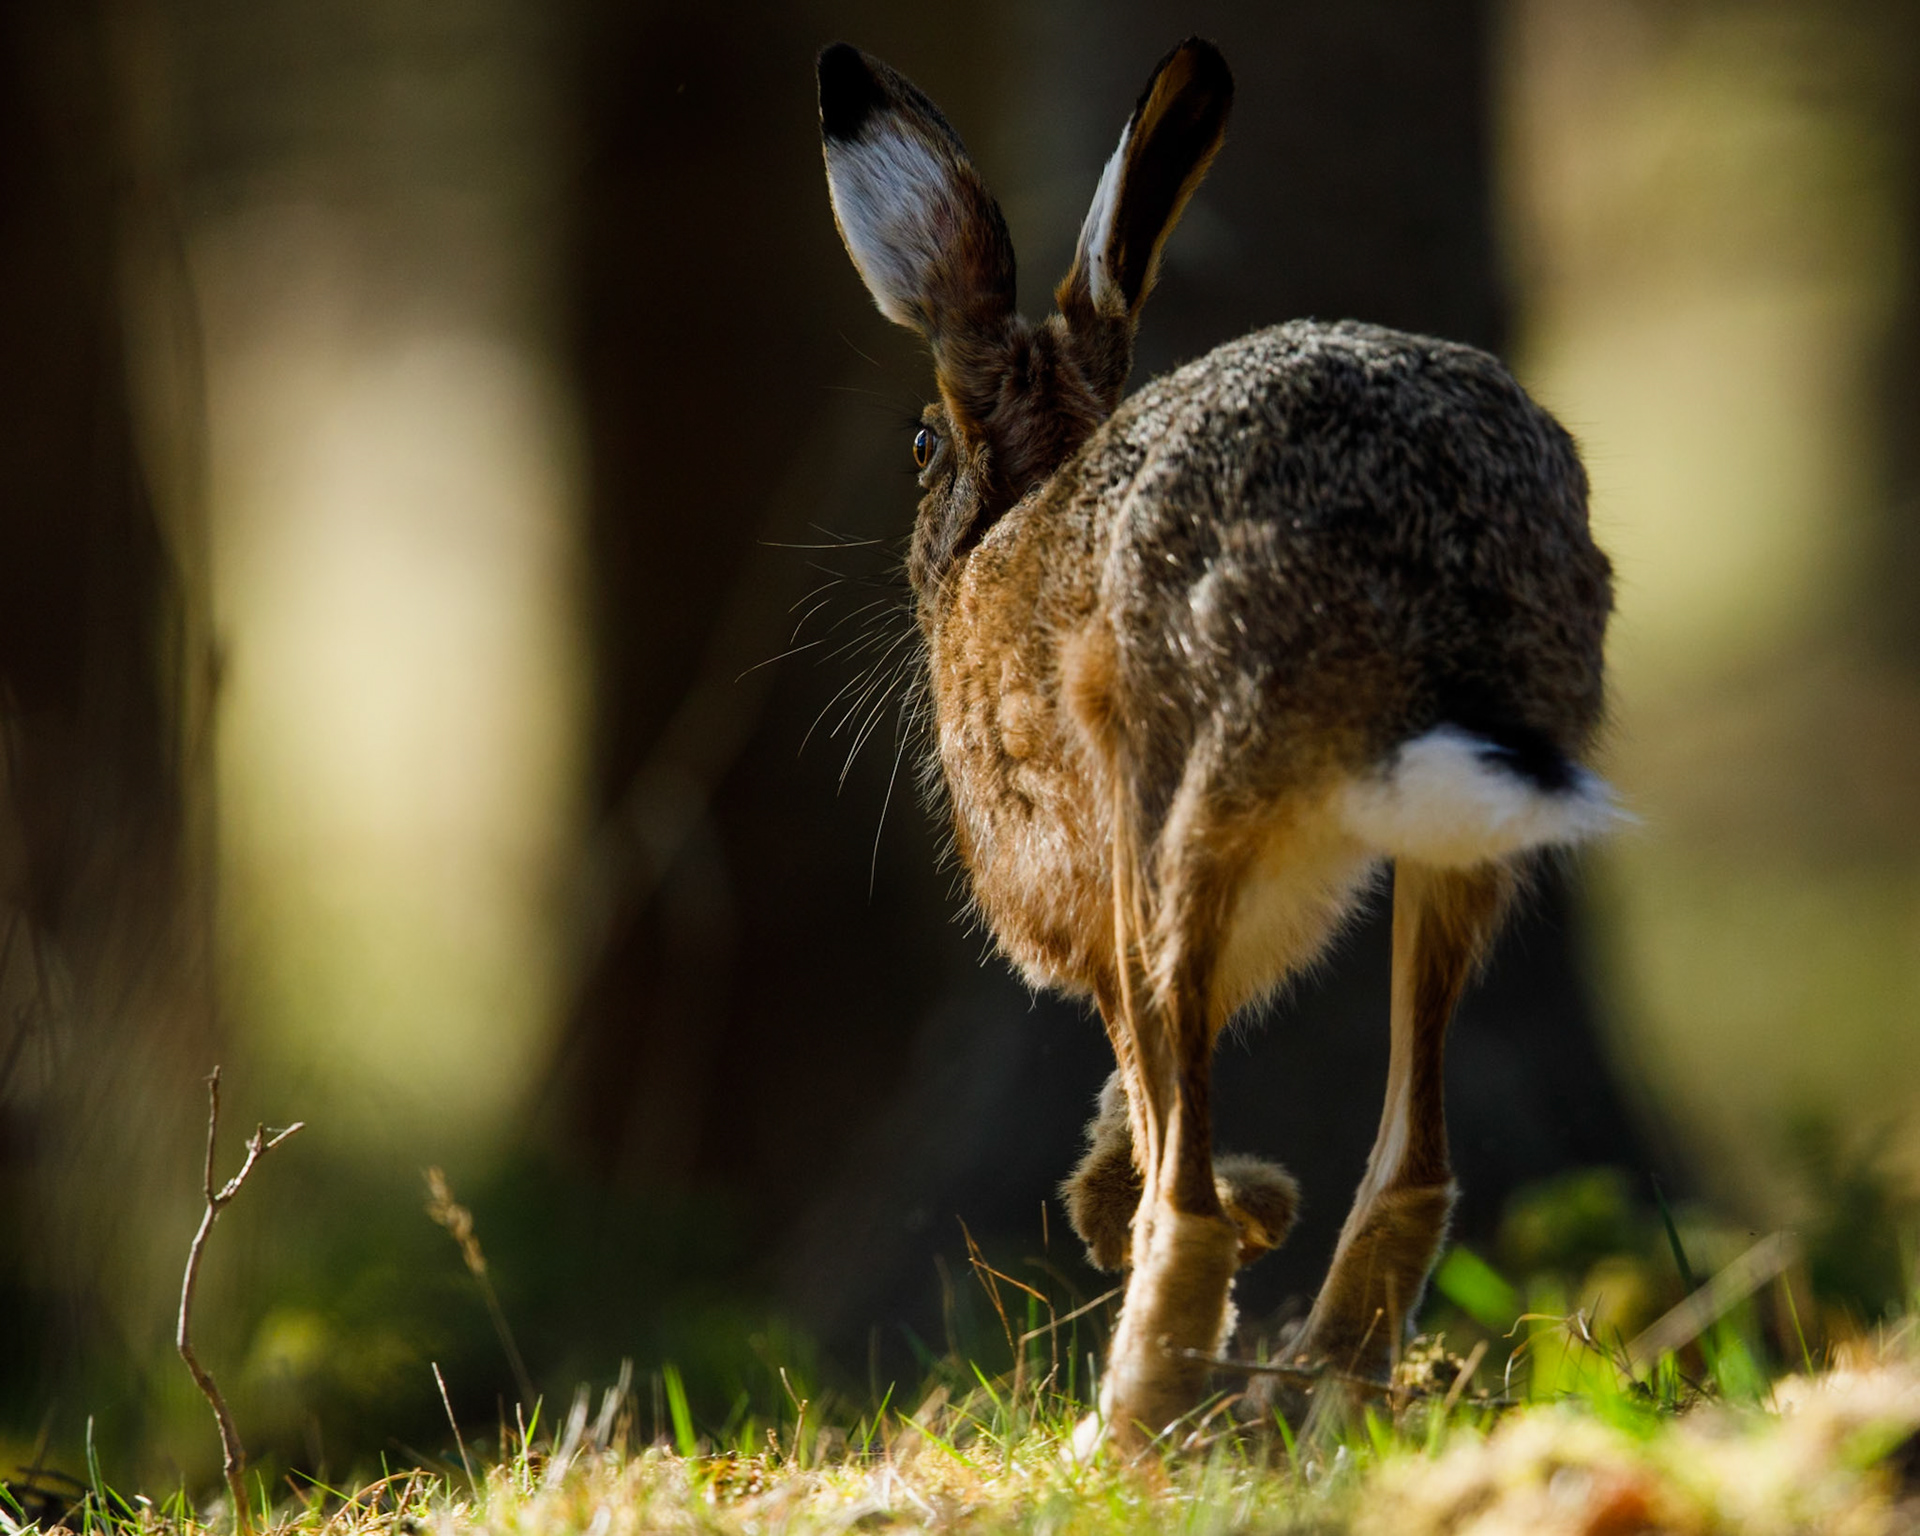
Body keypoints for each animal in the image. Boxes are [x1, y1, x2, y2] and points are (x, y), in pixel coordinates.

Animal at [817, 36, 1617, 1452]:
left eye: (920, 444)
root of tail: (1420, 580)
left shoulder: (1079, 901)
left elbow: (1145, 1105)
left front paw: (1164, 1212)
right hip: (1457, 848)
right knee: (1414, 1165)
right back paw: (1328, 1405)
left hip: (1168, 817)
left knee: (1180, 1184)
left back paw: (1130, 1423)